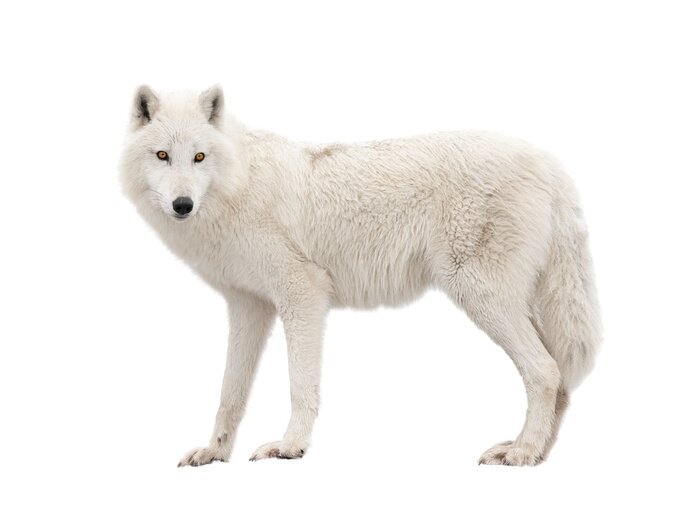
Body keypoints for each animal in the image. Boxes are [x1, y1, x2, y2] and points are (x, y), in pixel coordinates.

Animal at [119, 85, 602, 467]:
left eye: (199, 156)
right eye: (162, 156)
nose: (182, 205)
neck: (239, 185)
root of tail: (548, 162)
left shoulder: (303, 293)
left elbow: (300, 384)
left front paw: (290, 447)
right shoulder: (248, 306)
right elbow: (229, 393)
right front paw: (215, 452)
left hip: (481, 296)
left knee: (545, 371)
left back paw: (522, 453)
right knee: (559, 375)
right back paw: (535, 451)